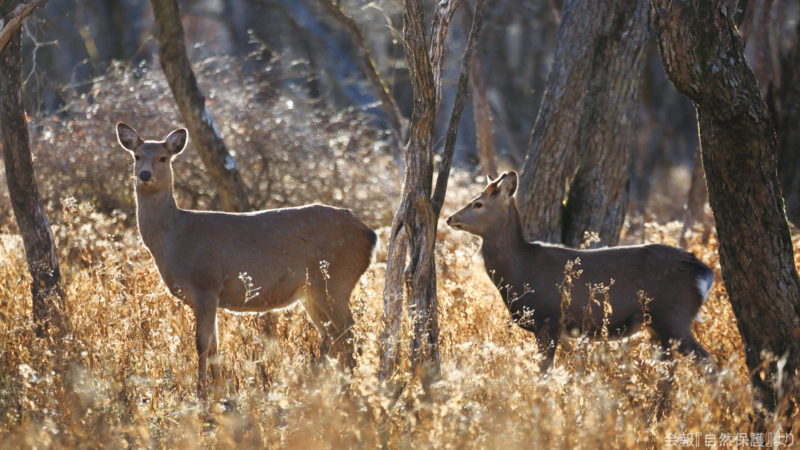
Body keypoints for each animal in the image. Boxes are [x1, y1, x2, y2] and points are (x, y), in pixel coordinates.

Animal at [115, 123, 377, 398]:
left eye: (163, 158)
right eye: (137, 156)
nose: (144, 174)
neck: (175, 238)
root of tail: (370, 234)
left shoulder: (206, 285)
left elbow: (201, 343)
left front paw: (201, 395)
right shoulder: (208, 295)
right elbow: (215, 345)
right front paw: (221, 393)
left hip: (337, 279)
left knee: (348, 334)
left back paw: (345, 392)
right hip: (311, 291)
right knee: (332, 336)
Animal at [446, 171, 714, 371]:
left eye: (478, 203)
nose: (450, 218)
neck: (521, 271)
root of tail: (704, 273)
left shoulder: (548, 318)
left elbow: (545, 371)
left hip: (673, 315)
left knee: (707, 361)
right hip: (659, 326)